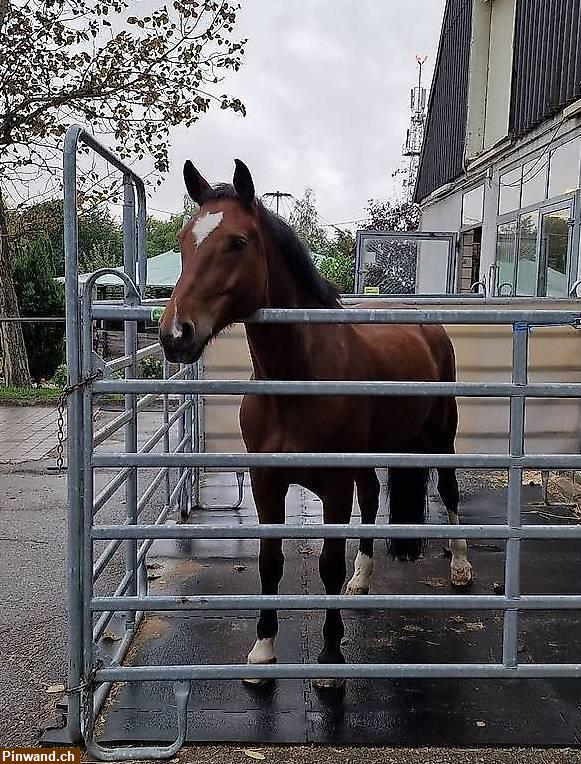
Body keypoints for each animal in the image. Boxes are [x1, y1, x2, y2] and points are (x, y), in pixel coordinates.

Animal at [159, 158, 472, 688]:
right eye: (183, 240)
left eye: (237, 242)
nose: (175, 335)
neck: (299, 377)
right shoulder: (267, 483)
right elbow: (269, 563)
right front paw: (262, 652)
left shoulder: (333, 485)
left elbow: (327, 564)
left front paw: (330, 660)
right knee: (373, 497)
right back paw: (362, 579)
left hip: (439, 435)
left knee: (448, 490)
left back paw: (462, 566)